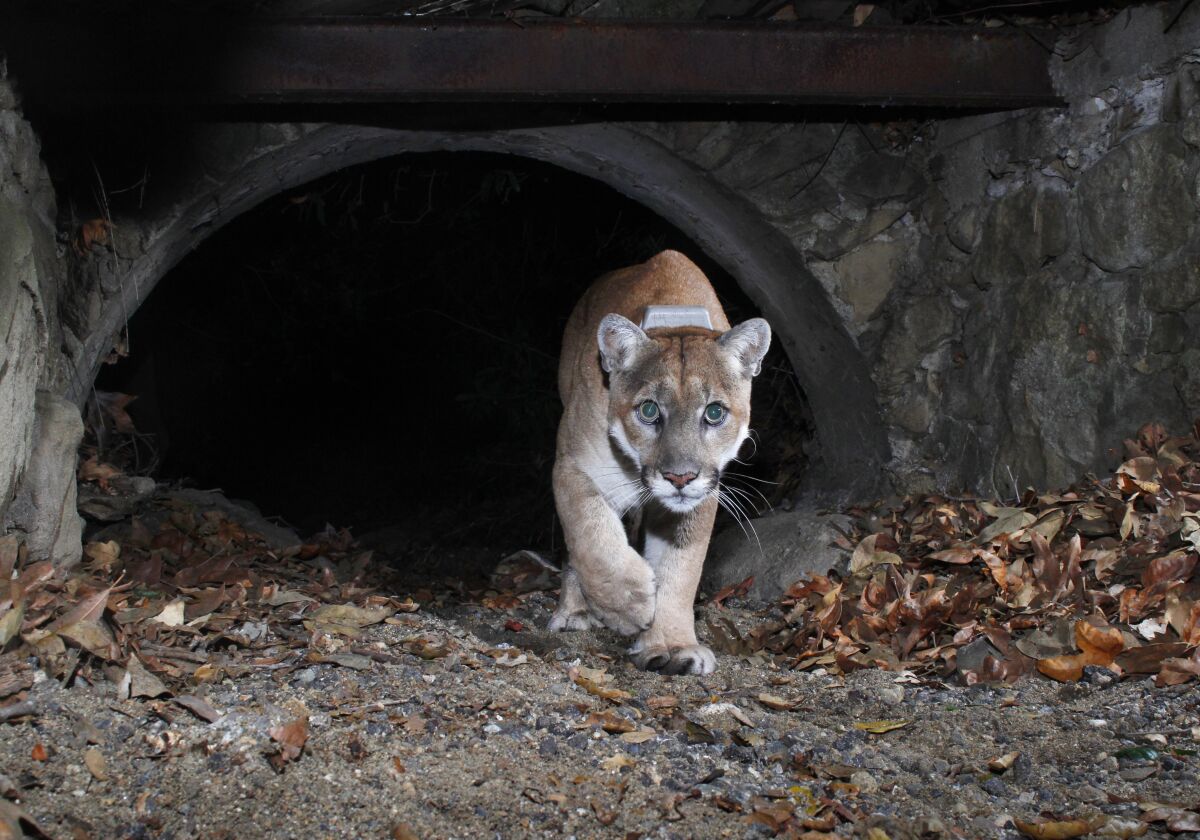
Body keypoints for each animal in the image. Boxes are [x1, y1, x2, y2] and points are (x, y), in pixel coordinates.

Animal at [547, 249, 768, 676]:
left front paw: (672, 644)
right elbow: (591, 531)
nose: (679, 477)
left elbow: (680, 569)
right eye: (649, 411)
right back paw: (575, 611)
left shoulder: (702, 496)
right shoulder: (572, 466)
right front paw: (628, 603)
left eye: (714, 413)